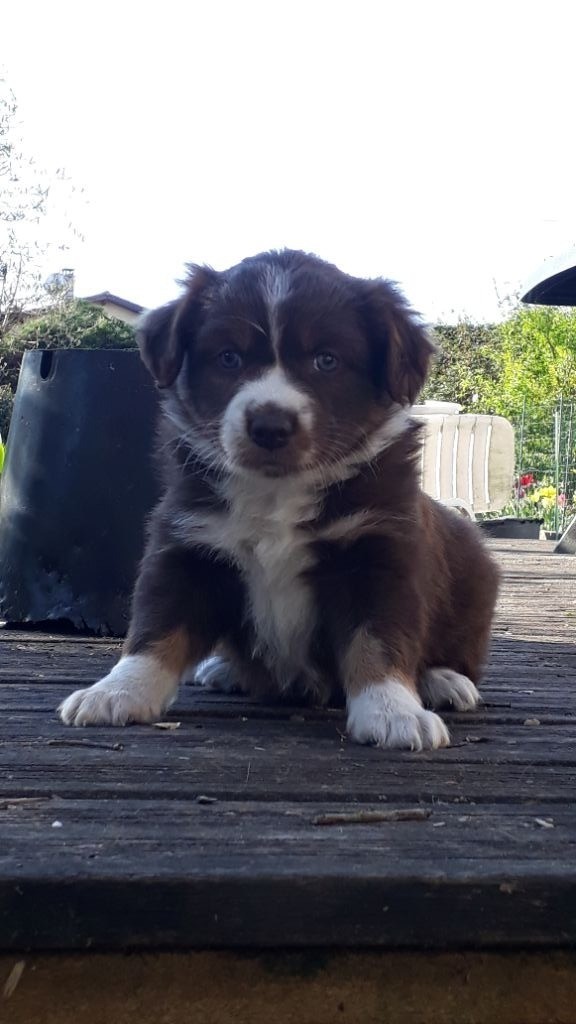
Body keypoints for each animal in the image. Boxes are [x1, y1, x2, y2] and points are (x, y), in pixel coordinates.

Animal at [59, 249, 499, 750]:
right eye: (228, 358)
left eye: (326, 360)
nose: (269, 426)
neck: (277, 493)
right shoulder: (187, 546)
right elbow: (155, 630)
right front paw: (118, 691)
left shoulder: (378, 555)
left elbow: (378, 640)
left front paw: (393, 712)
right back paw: (223, 668)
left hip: (473, 575)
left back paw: (443, 680)